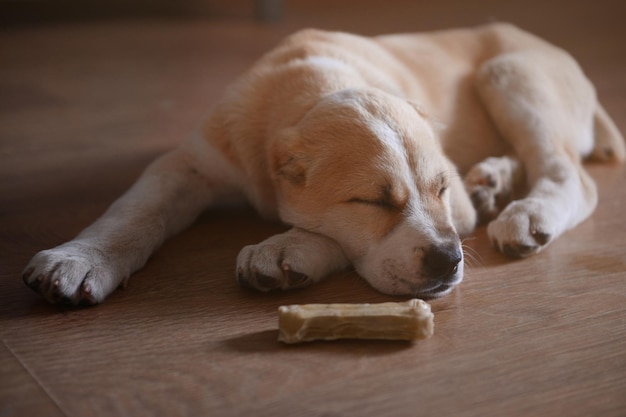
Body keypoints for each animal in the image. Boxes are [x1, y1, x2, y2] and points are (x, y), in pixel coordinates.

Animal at [22, 22, 620, 302]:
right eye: (371, 201)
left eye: (439, 190)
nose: (450, 260)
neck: (314, 88)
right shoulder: (191, 162)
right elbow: (133, 213)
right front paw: (80, 259)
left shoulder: (456, 213)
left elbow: (326, 236)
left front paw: (287, 249)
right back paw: (493, 179)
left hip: (508, 72)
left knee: (574, 177)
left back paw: (527, 213)